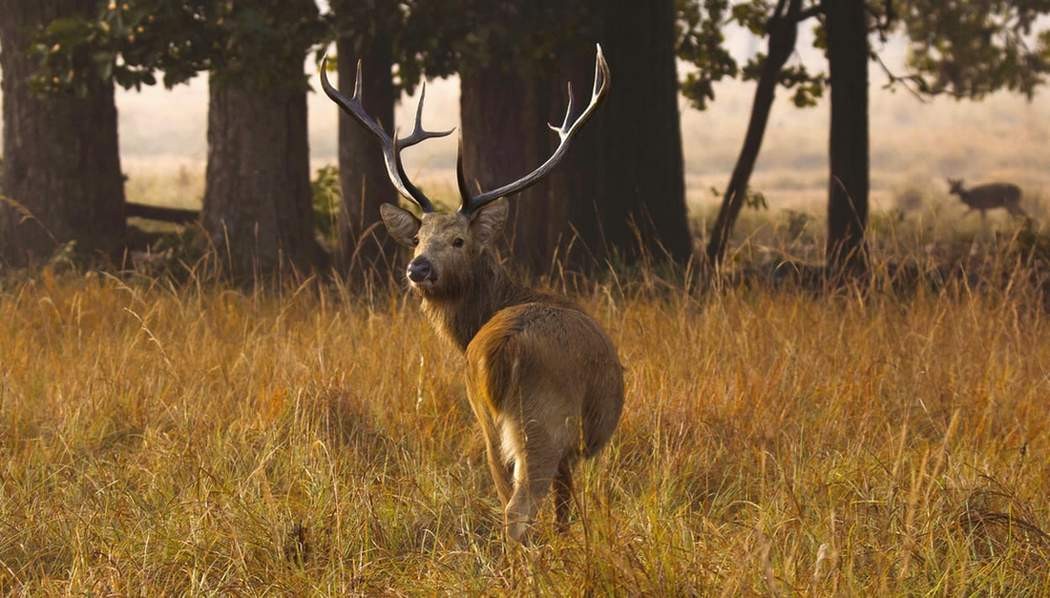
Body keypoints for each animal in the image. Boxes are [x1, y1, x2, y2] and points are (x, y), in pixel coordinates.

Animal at [320, 45, 624, 543]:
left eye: (457, 240)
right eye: (418, 238)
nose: (418, 268)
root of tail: (505, 348)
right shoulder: (572, 447)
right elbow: (565, 507)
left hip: (486, 419)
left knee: (503, 497)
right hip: (545, 420)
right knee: (519, 507)